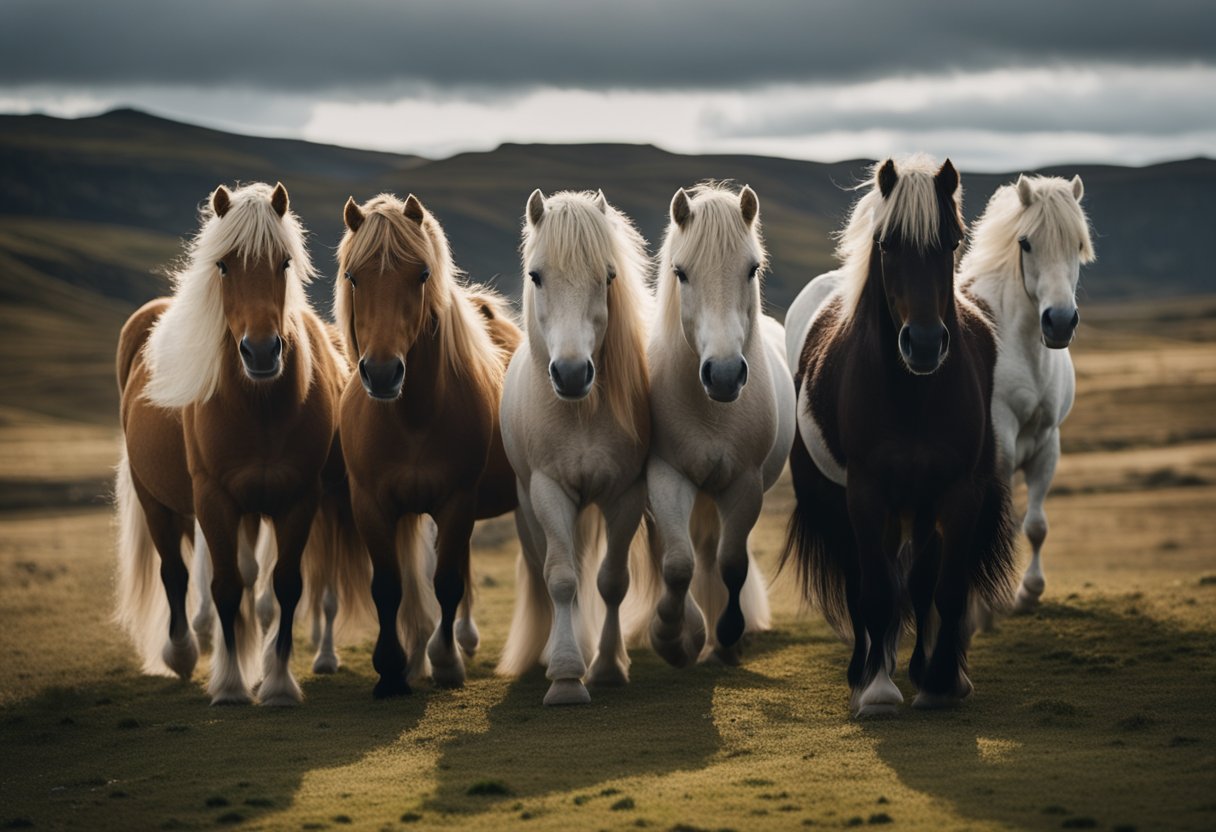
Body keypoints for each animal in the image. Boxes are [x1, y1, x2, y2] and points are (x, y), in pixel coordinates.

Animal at [335, 189, 520, 695]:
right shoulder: (370, 505)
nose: (382, 373)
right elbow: (388, 587)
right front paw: (391, 671)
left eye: (421, 274)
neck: (413, 418)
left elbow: (447, 583)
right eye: (352, 276)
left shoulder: (457, 502)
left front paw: (446, 662)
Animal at [498, 192, 661, 705]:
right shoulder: (549, 490)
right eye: (536, 275)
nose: (571, 374)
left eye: (607, 276)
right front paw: (567, 676)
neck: (580, 413)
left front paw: (607, 666)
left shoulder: (626, 493)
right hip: (529, 506)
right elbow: (562, 579)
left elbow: (611, 581)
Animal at [646, 183, 797, 671]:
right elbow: (678, 563)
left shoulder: (744, 484)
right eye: (681, 272)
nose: (726, 374)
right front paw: (673, 637)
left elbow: (732, 563)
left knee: (714, 553)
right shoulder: (667, 475)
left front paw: (727, 635)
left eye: (752, 269)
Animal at [778, 159, 1016, 720]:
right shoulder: (865, 493)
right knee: (859, 581)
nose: (925, 344)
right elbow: (875, 594)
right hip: (839, 503)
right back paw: (865, 670)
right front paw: (877, 690)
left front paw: (941, 680)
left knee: (916, 580)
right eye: (887, 245)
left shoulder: (958, 492)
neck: (913, 396)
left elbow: (942, 589)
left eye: (951, 242)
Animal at [953, 175, 1099, 613]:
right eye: (1026, 243)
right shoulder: (1001, 447)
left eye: (1077, 244)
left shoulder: (1046, 443)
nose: (1060, 322)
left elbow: (1034, 525)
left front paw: (1029, 591)